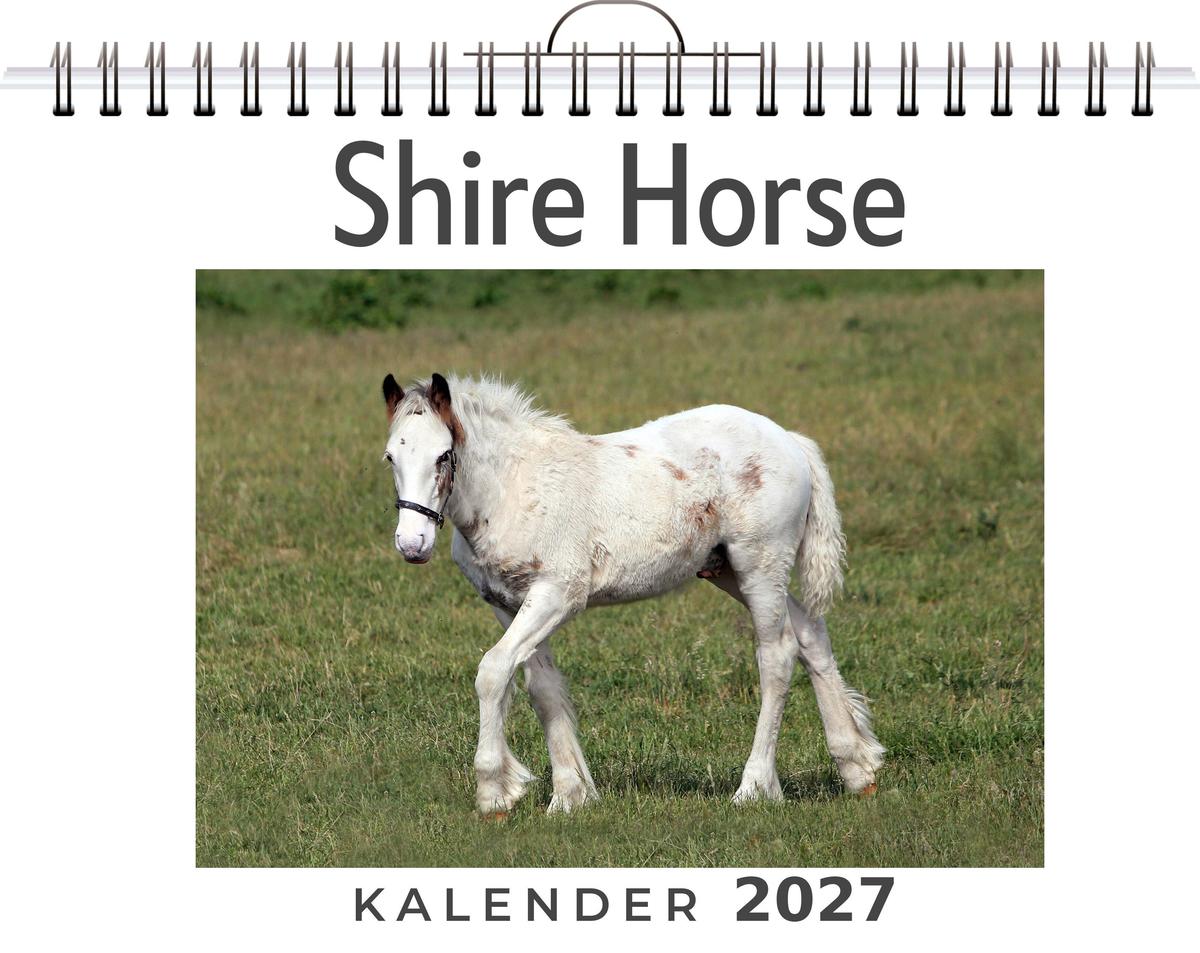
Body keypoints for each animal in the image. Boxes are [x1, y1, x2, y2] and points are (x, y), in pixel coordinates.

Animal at [380, 372, 884, 816]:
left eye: (444, 455)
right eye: (390, 458)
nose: (412, 544)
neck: (514, 488)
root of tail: (789, 440)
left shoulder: (559, 593)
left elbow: (492, 671)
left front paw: (494, 793)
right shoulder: (507, 603)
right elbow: (540, 687)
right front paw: (570, 795)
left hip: (759, 564)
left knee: (777, 655)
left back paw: (755, 787)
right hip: (728, 571)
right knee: (810, 633)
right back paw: (857, 769)